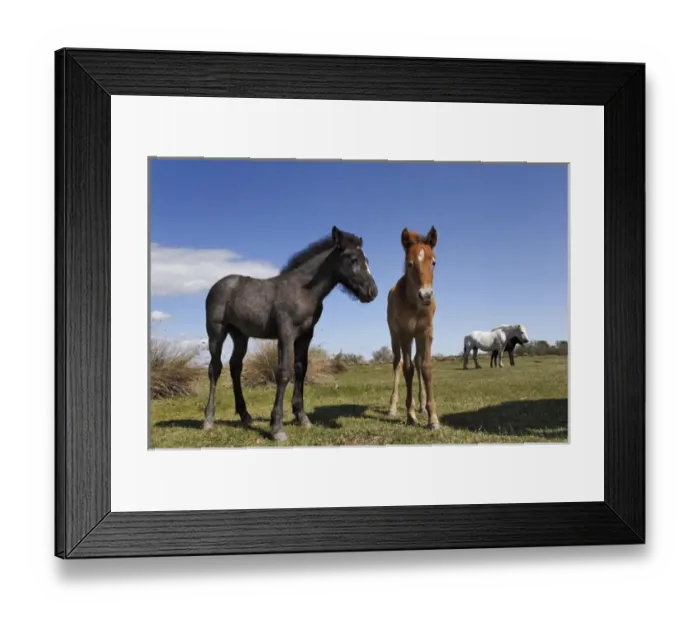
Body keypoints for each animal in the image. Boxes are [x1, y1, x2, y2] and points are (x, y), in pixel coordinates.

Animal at [203, 226, 379, 442]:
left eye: (366, 260)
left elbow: (301, 370)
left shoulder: (305, 336)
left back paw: (245, 415)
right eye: (353, 259)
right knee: (215, 369)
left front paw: (302, 417)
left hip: (240, 335)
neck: (302, 290)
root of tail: (217, 286)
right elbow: (284, 372)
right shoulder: (286, 334)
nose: (372, 292)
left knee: (235, 367)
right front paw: (276, 427)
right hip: (216, 333)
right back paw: (208, 419)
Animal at [387, 226, 440, 430]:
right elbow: (407, 369)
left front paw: (433, 418)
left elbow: (426, 368)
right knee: (398, 364)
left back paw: (422, 405)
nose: (425, 295)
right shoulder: (405, 334)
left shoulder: (425, 333)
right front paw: (410, 415)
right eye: (409, 264)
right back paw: (392, 408)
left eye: (434, 262)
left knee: (417, 362)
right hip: (395, 336)